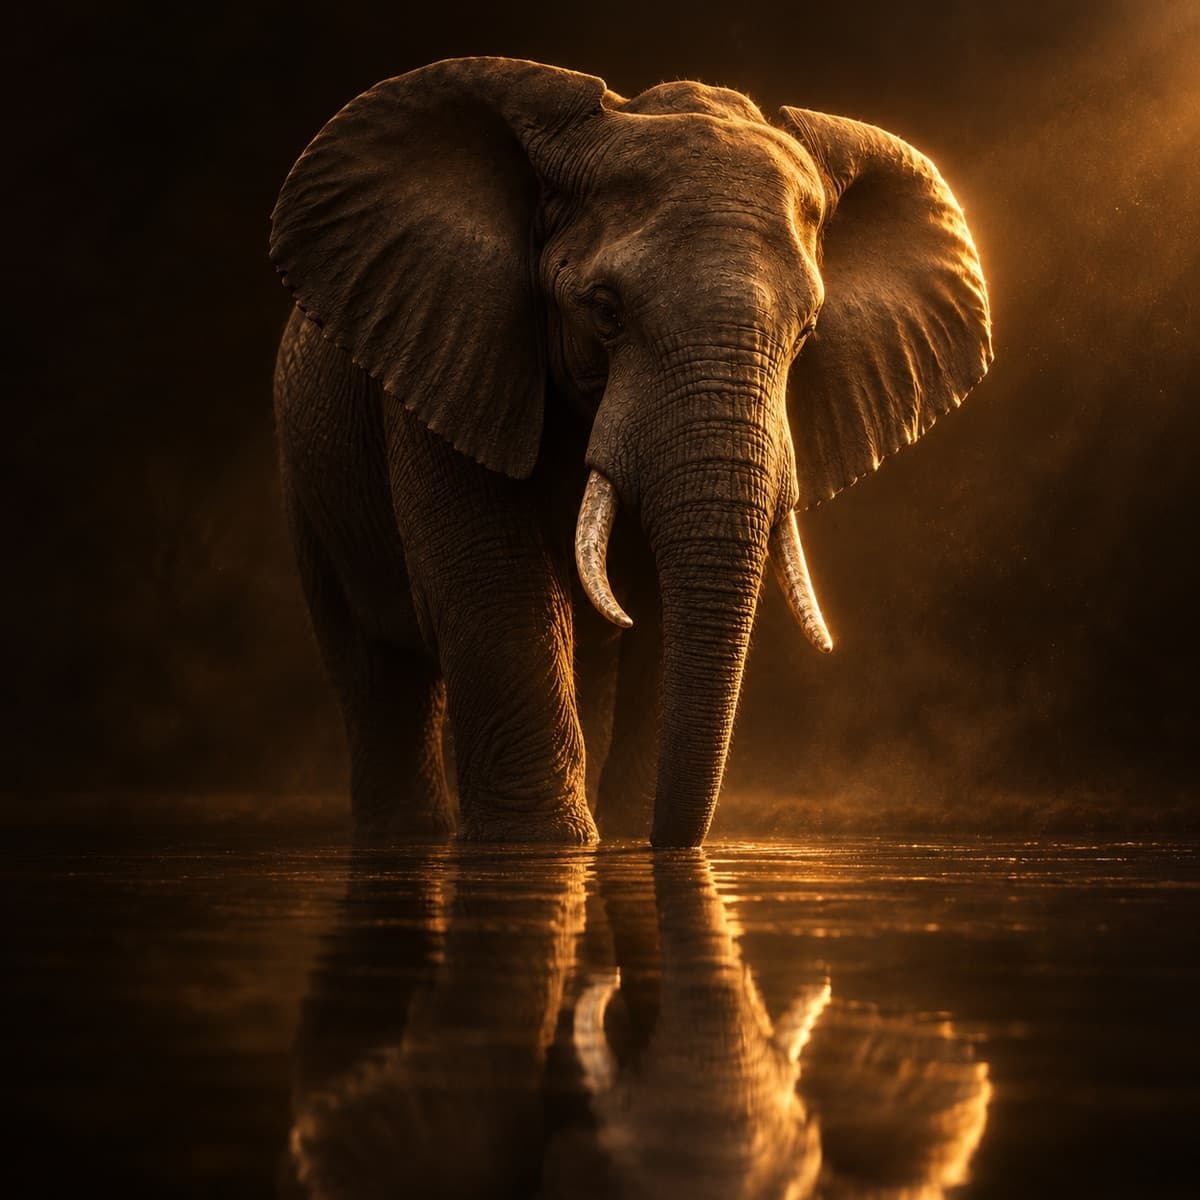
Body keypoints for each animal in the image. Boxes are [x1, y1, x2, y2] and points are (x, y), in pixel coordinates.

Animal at [270, 56, 992, 847]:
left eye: (807, 333)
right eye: (605, 311)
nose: (669, 841)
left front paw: (620, 837)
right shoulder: (451, 346)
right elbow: (493, 579)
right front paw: (543, 845)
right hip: (310, 488)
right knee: (373, 664)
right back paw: (409, 838)